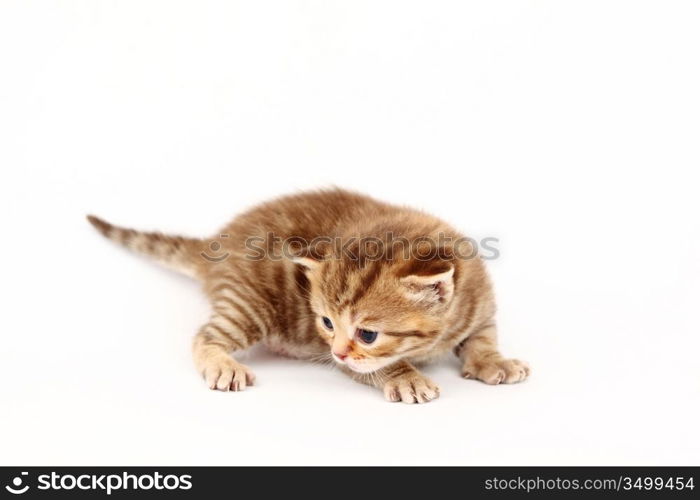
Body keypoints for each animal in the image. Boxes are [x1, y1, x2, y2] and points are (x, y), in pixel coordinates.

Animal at [87, 189, 528, 404]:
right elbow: (379, 367)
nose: (336, 352)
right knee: (205, 336)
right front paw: (406, 378)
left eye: (367, 333)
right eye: (327, 323)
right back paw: (223, 364)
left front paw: (495, 361)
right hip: (252, 303)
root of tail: (218, 243)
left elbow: (483, 339)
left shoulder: (480, 305)